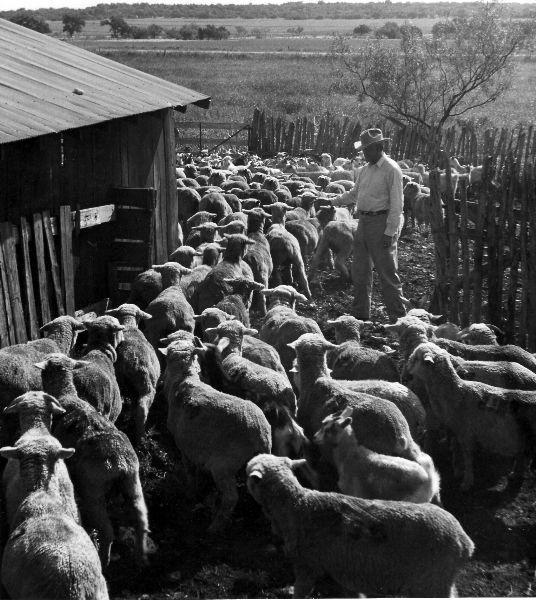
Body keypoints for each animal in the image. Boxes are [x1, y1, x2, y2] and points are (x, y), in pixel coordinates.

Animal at [37, 354, 151, 568]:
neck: (66, 395)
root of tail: (120, 463)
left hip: (93, 490)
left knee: (107, 531)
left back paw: (104, 559)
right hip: (133, 481)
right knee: (141, 519)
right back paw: (141, 557)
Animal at [104, 304, 159, 440]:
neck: (129, 326)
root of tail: (130, 359)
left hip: (121, 382)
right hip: (147, 384)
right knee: (142, 409)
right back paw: (142, 437)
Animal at [157, 340, 270, 532]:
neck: (184, 379)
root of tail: (260, 433)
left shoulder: (184, 446)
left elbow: (190, 471)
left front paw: (191, 493)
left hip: (223, 464)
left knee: (231, 497)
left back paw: (216, 526)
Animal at [406, 340, 536, 490]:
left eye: (416, 358)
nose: (407, 373)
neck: (457, 392)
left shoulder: (466, 434)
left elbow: (467, 457)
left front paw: (467, 482)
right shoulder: (455, 431)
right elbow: (456, 452)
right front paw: (458, 471)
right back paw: (515, 474)